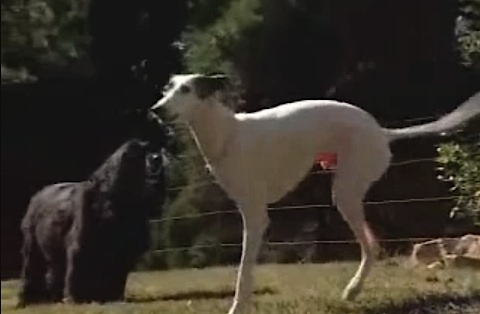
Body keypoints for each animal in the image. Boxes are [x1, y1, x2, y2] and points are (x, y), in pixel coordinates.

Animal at [17, 140, 167, 306]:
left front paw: (111, 297)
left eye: (150, 149)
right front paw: (75, 298)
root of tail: (36, 196)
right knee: (32, 266)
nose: (157, 157)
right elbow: (78, 267)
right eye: (139, 154)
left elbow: (116, 274)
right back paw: (29, 299)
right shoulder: (81, 243)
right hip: (32, 242)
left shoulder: (122, 251)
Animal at [151, 74, 480, 314]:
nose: (156, 109)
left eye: (187, 89)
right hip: (350, 191)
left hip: (346, 193)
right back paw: (354, 290)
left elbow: (244, 272)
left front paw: (237, 307)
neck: (229, 134)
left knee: (373, 245)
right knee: (375, 243)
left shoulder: (255, 218)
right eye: (168, 88)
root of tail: (380, 131)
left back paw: (353, 288)